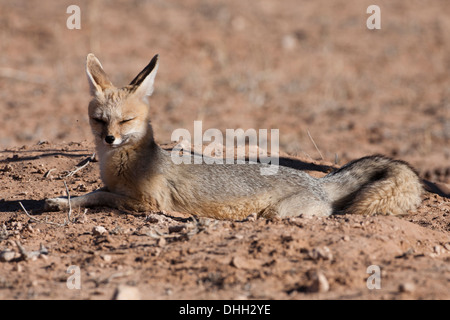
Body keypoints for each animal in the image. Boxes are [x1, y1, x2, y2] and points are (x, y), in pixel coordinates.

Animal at [44, 54, 424, 220]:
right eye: (99, 121)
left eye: (126, 121)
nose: (109, 139)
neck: (126, 165)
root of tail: (315, 180)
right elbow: (95, 191)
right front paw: (61, 201)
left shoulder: (150, 204)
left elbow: (100, 195)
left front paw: (66, 201)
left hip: (279, 213)